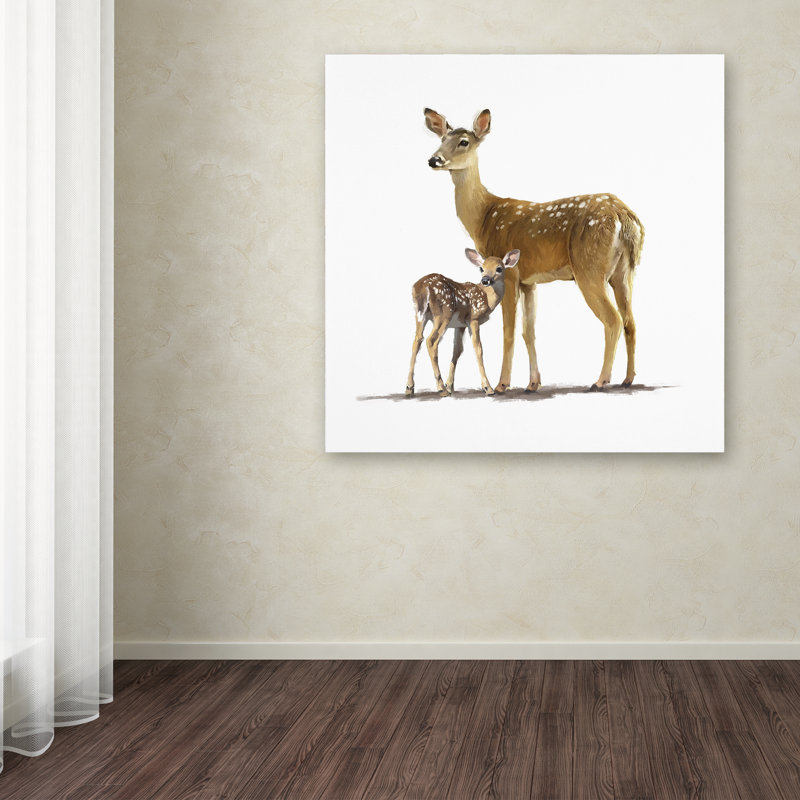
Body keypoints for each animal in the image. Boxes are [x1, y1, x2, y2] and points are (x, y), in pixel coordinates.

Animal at [406, 247, 521, 397]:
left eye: (499, 268)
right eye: (481, 268)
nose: (485, 280)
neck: (487, 298)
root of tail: (422, 287)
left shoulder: (460, 325)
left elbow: (457, 350)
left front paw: (450, 386)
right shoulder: (473, 319)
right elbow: (478, 349)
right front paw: (487, 387)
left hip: (420, 314)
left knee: (417, 340)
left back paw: (409, 388)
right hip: (443, 313)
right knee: (431, 341)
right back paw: (440, 388)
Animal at [424, 107, 645, 392]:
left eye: (464, 142)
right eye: (441, 139)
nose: (434, 159)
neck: (485, 217)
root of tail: (624, 215)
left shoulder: (508, 274)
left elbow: (508, 332)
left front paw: (501, 385)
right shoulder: (529, 281)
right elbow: (528, 332)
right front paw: (533, 383)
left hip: (589, 268)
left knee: (613, 319)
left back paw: (600, 380)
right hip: (625, 271)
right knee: (630, 321)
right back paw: (627, 379)